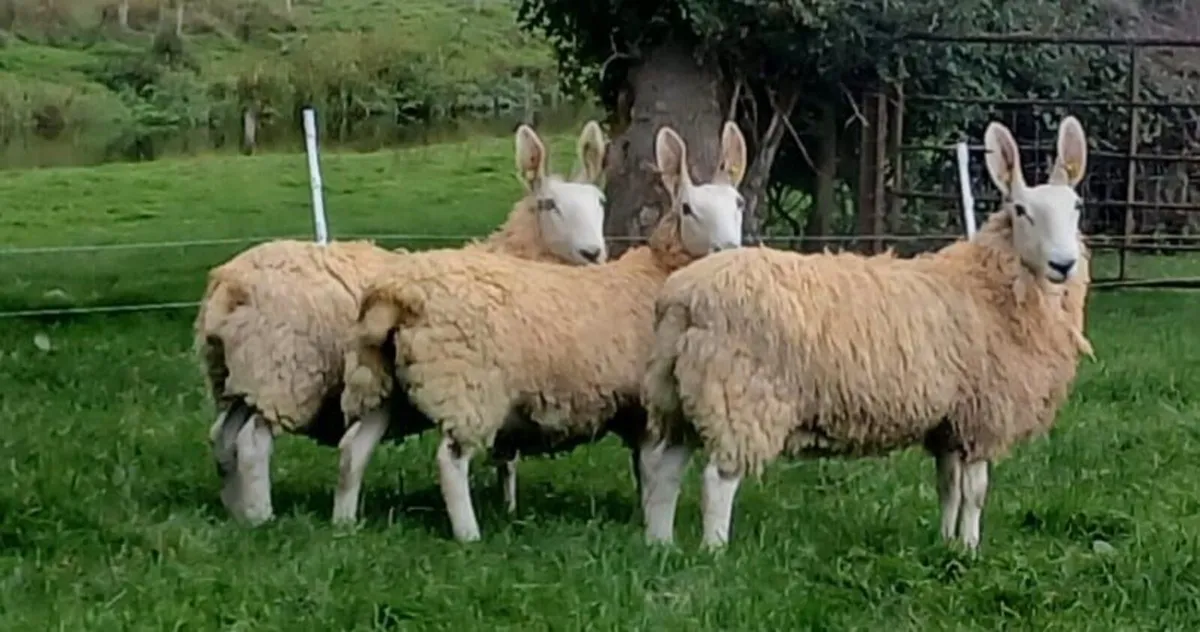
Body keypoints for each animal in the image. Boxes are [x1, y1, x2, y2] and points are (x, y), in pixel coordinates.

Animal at [196, 120, 610, 526]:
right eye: (549, 204)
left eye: (600, 203)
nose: (594, 253)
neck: (514, 254)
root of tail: (229, 283)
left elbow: (506, 459)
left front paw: (507, 507)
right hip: (283, 371)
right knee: (253, 444)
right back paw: (261, 517)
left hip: (242, 377)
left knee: (224, 438)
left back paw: (235, 511)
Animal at [338, 121, 749, 541]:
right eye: (688, 208)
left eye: (739, 203)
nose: (729, 249)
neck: (655, 273)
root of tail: (399, 292)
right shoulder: (649, 404)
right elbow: (653, 471)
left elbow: (641, 472)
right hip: (467, 386)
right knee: (449, 460)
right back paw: (469, 535)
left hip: (379, 380)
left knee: (354, 448)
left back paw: (345, 522)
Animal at [637, 115, 1094, 552]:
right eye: (1020, 210)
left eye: (1076, 206)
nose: (1064, 264)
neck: (991, 285)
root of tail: (683, 297)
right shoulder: (982, 415)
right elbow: (976, 492)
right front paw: (970, 546)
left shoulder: (948, 420)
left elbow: (948, 486)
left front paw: (946, 542)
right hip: (741, 396)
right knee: (717, 480)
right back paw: (714, 551)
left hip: (676, 396)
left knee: (664, 469)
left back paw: (661, 544)